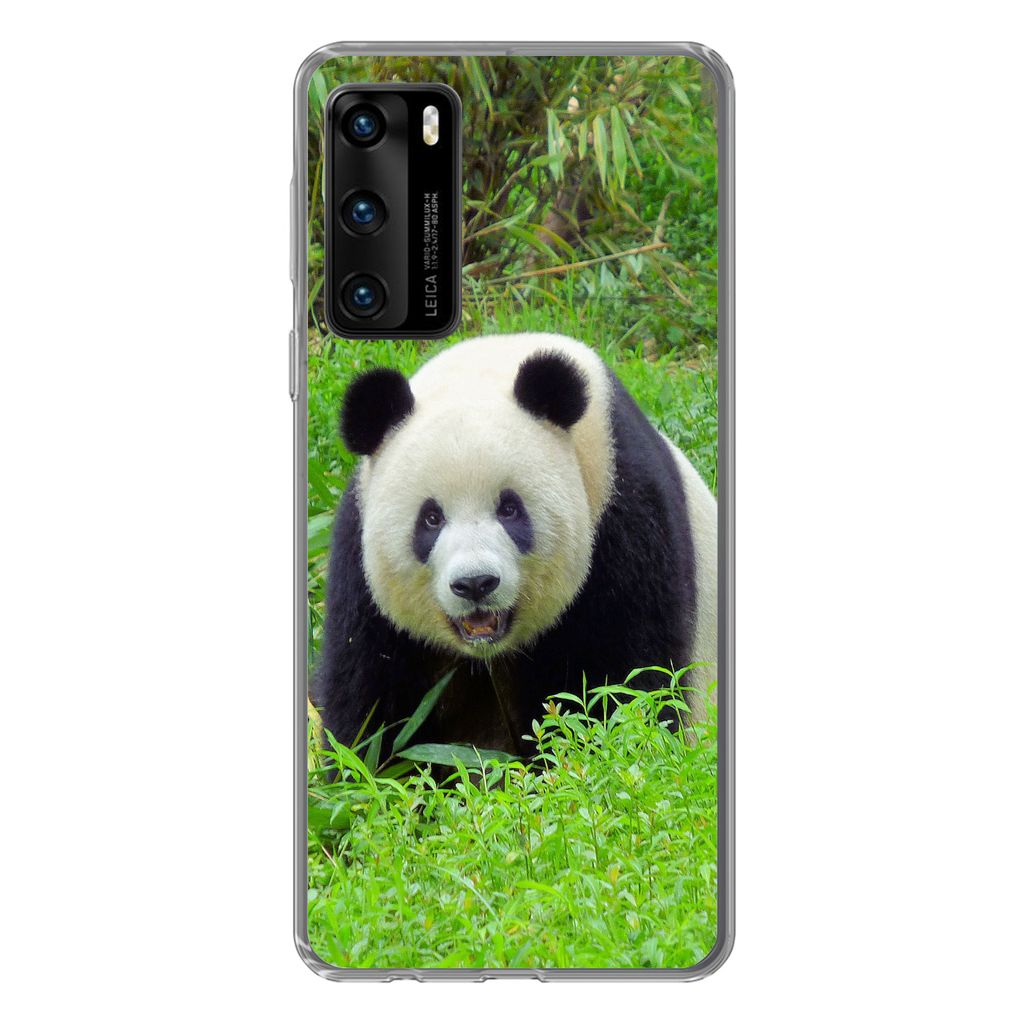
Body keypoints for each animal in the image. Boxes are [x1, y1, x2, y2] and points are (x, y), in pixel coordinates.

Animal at [312, 333, 717, 758]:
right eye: (431, 518)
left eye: (509, 509)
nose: (475, 584)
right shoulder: (359, 561)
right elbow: (369, 700)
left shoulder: (624, 514)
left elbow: (628, 680)